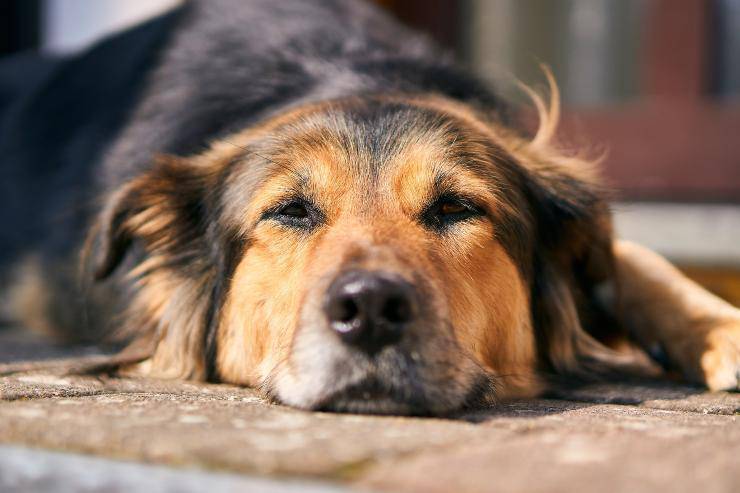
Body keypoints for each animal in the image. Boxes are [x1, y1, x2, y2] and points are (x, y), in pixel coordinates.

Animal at [1, 0, 740, 416]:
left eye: (456, 207)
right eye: (291, 211)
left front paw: (720, 330)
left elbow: (635, 259)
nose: (371, 311)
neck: (346, 70)